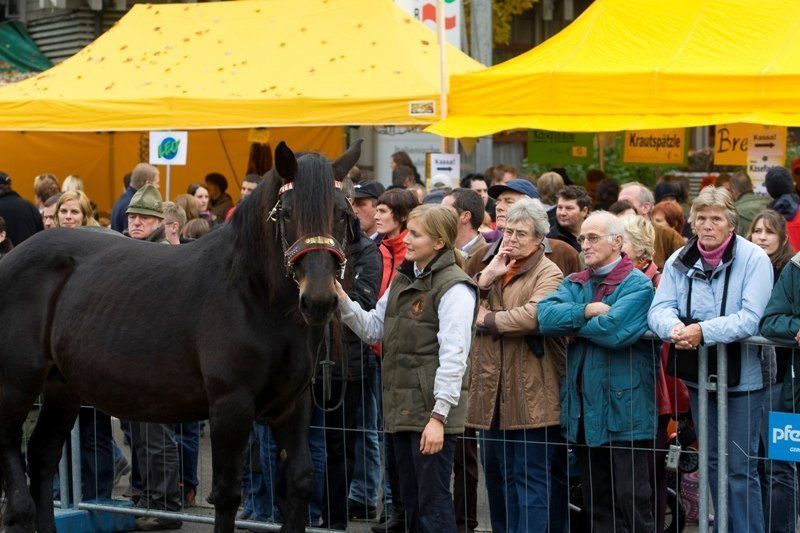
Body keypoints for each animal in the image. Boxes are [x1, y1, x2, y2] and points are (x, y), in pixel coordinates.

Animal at [0, 139, 362, 533]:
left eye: (343, 213)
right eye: (287, 213)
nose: (319, 300)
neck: (252, 293)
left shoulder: (292, 406)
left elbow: (301, 481)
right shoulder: (230, 406)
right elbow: (227, 494)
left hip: (62, 386)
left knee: (42, 456)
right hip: (17, 384)